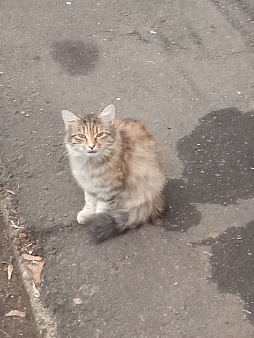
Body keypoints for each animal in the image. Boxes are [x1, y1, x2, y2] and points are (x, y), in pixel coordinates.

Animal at [62, 104, 167, 242]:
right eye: (81, 136)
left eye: (100, 134)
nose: (91, 146)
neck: (90, 164)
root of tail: (155, 199)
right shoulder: (89, 186)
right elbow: (89, 201)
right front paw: (87, 214)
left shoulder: (109, 190)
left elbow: (101, 208)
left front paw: (95, 220)